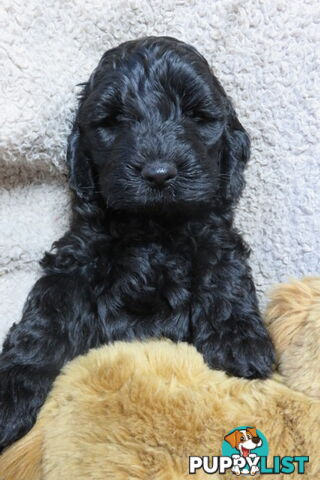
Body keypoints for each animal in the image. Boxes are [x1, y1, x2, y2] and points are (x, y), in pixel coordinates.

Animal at [0, 36, 276, 450]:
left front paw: (241, 342)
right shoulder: (75, 257)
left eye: (196, 115)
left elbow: (224, 272)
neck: (152, 226)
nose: (159, 173)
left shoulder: (214, 233)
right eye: (113, 121)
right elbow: (46, 316)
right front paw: (11, 388)